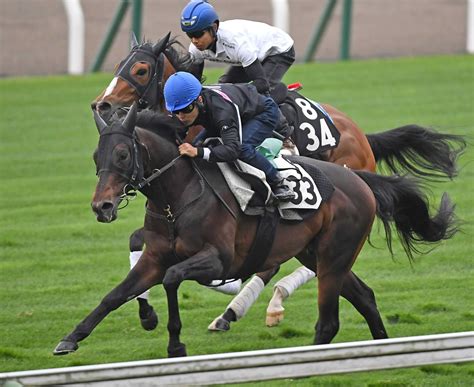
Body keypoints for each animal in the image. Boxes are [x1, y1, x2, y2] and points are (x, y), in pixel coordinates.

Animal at [53, 105, 458, 358]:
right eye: (97, 157)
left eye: (122, 155)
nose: (102, 206)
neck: (177, 196)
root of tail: (360, 178)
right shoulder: (153, 258)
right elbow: (113, 296)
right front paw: (70, 339)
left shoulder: (218, 260)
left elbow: (171, 279)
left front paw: (175, 344)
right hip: (319, 255)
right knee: (366, 298)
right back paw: (380, 351)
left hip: (333, 257)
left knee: (328, 321)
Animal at [90, 33, 466, 334]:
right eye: (119, 64)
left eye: (140, 69)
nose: (101, 104)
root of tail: (362, 136)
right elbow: (137, 241)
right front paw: (146, 311)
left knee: (298, 264)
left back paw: (251, 305)